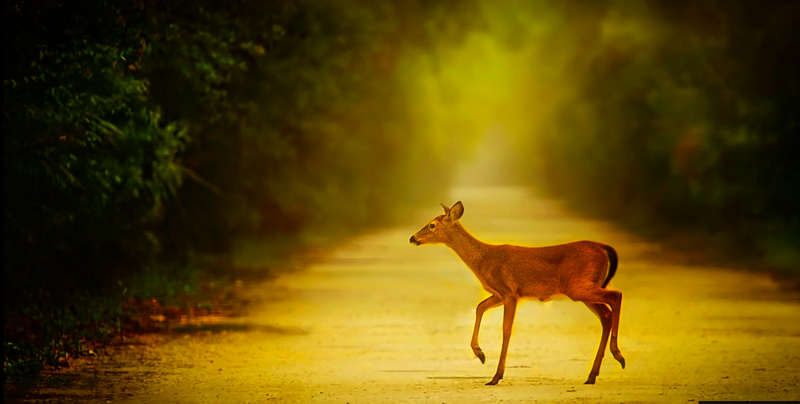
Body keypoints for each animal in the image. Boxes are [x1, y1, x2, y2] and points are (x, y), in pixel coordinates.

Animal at [412, 201, 624, 386]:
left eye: (432, 225)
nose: (412, 238)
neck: (483, 261)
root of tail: (605, 248)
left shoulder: (510, 292)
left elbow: (506, 330)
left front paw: (496, 376)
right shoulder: (499, 293)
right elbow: (480, 307)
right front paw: (480, 354)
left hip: (578, 287)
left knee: (616, 296)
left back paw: (618, 355)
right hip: (584, 289)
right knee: (606, 315)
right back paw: (592, 375)